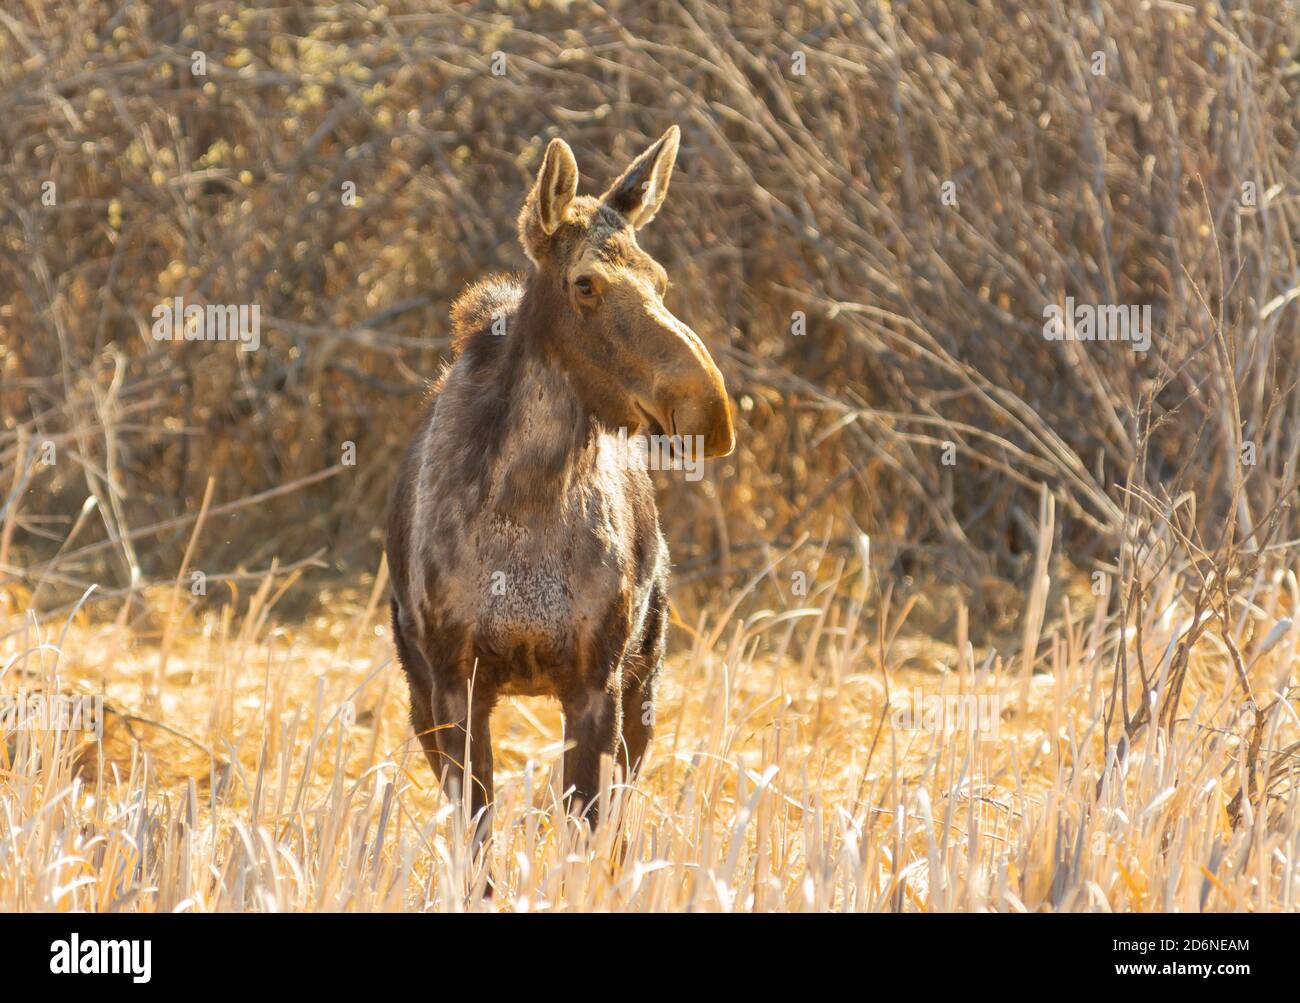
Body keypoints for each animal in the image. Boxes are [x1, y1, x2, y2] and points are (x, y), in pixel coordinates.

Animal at [382, 125, 733, 836]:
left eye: (660, 279)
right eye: (586, 284)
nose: (709, 408)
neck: (529, 502)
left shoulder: (597, 681)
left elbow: (587, 832)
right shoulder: (452, 683)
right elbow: (477, 837)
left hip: (647, 674)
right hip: (419, 689)